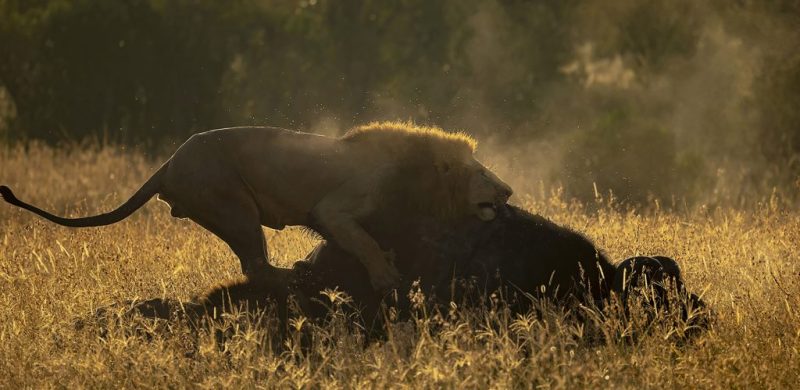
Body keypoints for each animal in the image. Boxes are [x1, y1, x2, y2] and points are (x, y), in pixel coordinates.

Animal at [0, 122, 512, 290]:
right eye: (483, 174)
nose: (508, 193)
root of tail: (167, 164)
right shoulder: (334, 208)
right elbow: (361, 241)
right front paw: (386, 276)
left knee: (253, 266)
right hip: (232, 205)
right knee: (257, 267)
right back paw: (295, 277)